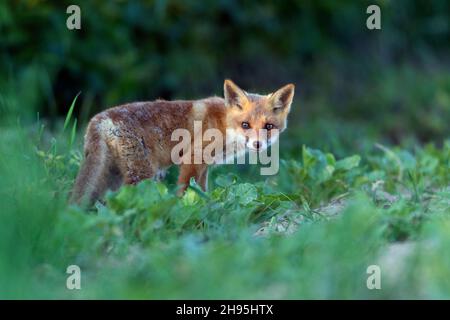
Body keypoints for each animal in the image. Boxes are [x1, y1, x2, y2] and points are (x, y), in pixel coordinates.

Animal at [69, 80, 296, 205]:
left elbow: (202, 190)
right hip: (141, 175)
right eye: (246, 124)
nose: (258, 145)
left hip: (114, 176)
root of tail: (98, 119)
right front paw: (186, 207)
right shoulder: (192, 159)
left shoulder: (205, 166)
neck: (224, 124)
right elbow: (186, 190)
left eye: (268, 126)